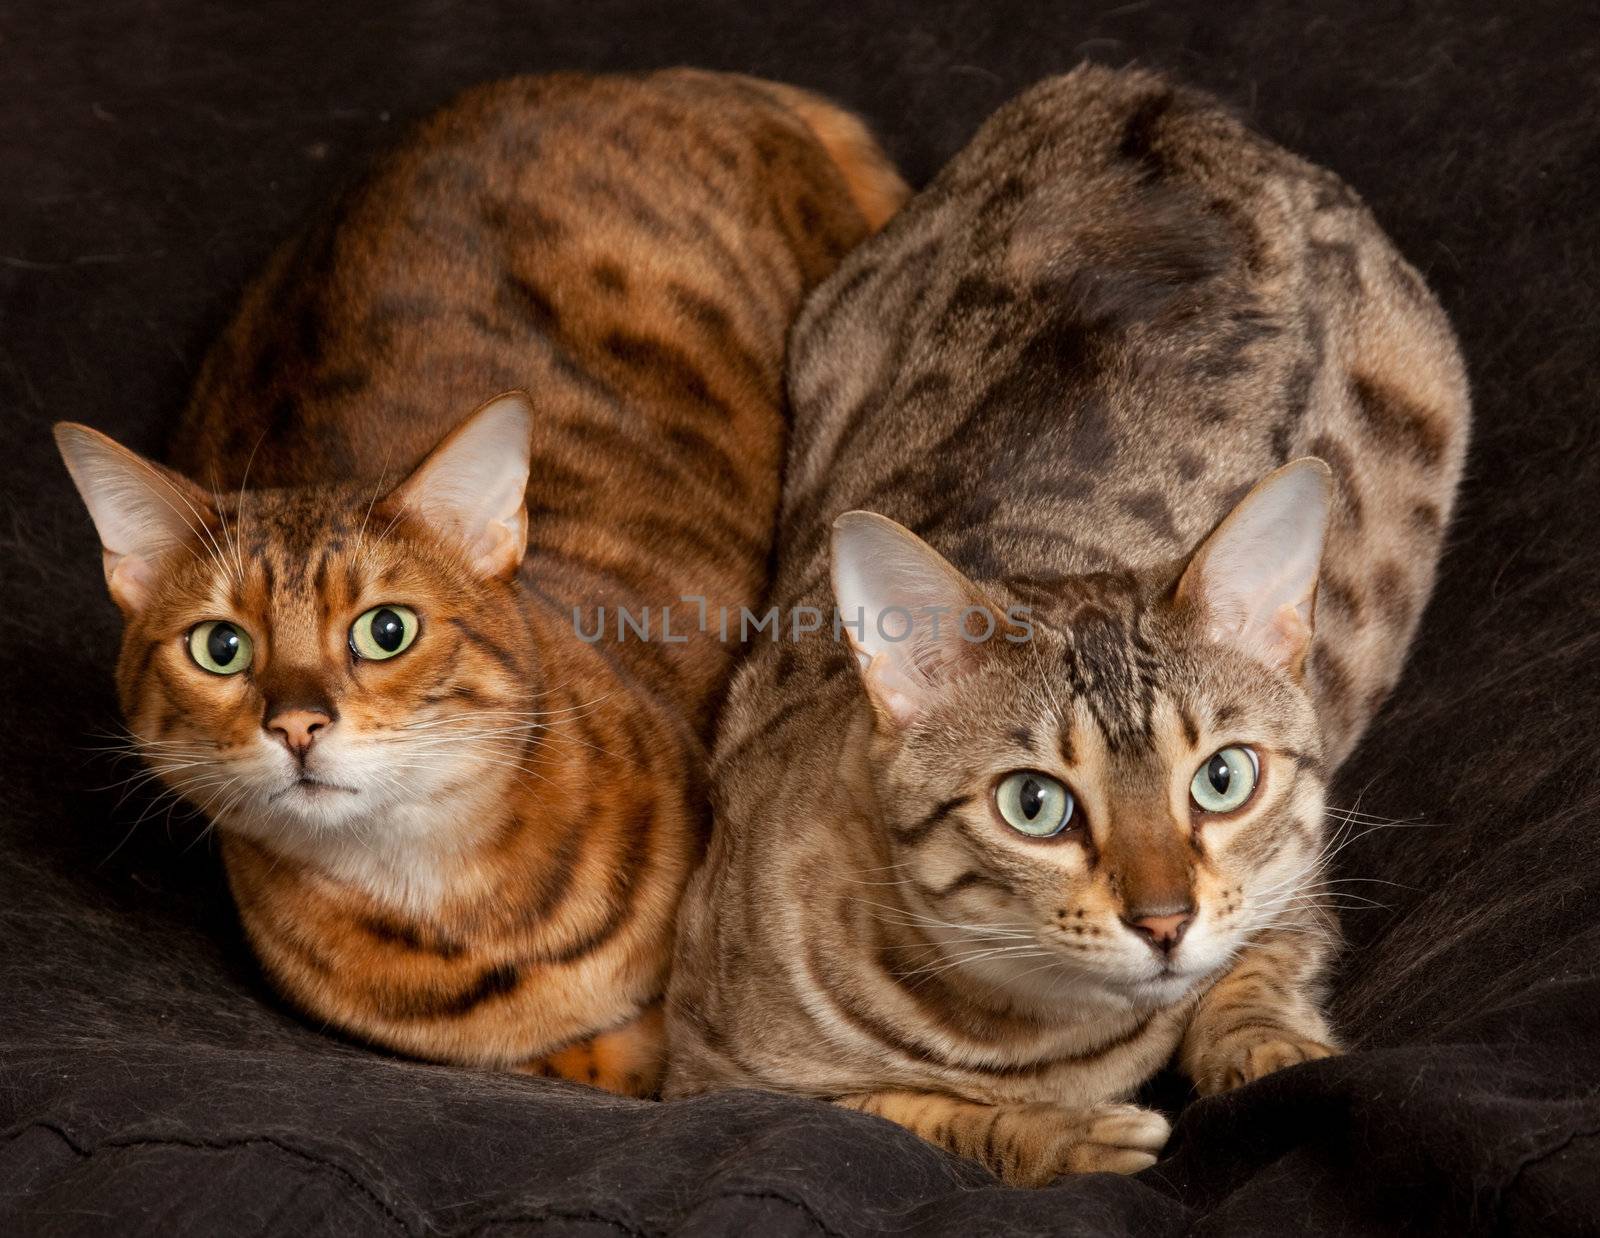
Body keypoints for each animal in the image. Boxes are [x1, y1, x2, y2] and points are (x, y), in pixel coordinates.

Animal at [665, 67, 1472, 1190]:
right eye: (1035, 804)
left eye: (1223, 778)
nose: (1165, 919)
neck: (1038, 1033)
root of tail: (1150, 93)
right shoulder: (707, 1073)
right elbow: (910, 1111)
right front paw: (1060, 1131)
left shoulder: (1294, 883)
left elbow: (1260, 971)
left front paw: (1272, 1049)